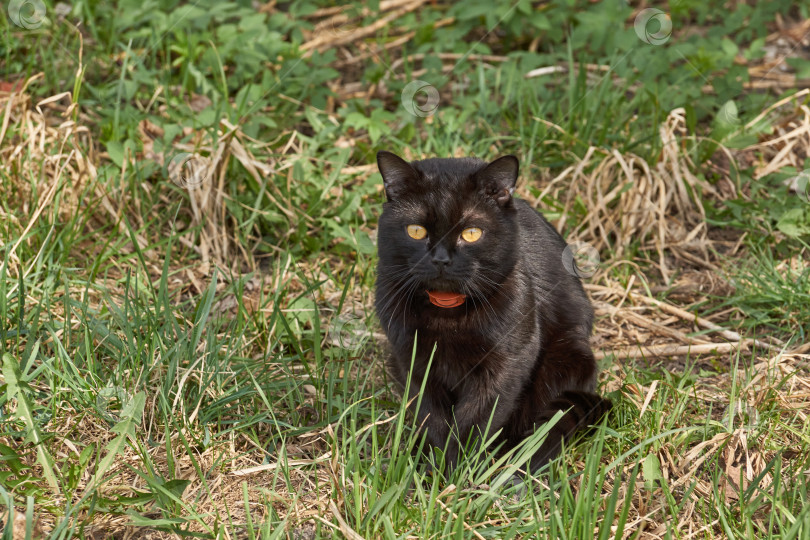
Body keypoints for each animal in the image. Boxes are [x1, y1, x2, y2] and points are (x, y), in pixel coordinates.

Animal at [376, 150, 608, 474]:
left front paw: (460, 472)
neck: (448, 317)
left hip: (567, 356)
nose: (441, 259)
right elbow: (431, 416)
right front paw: (434, 467)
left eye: (472, 233)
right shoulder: (412, 361)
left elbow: (477, 420)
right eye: (416, 231)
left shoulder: (507, 363)